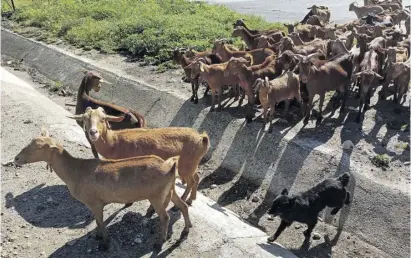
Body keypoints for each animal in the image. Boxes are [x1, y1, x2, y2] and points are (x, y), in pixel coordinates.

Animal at [13, 129, 192, 250]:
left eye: (38, 147)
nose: (17, 158)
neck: (75, 171)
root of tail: (169, 166)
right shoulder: (96, 203)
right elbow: (98, 220)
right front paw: (99, 236)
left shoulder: (94, 202)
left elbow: (99, 220)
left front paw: (104, 242)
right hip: (170, 191)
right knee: (183, 205)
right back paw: (185, 231)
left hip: (157, 196)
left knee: (165, 217)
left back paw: (159, 242)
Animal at [69, 107, 211, 208]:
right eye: (85, 118)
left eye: (103, 119)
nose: (93, 132)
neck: (114, 142)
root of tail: (202, 138)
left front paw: (128, 202)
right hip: (192, 165)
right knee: (196, 178)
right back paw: (191, 199)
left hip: (186, 166)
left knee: (191, 182)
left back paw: (182, 201)